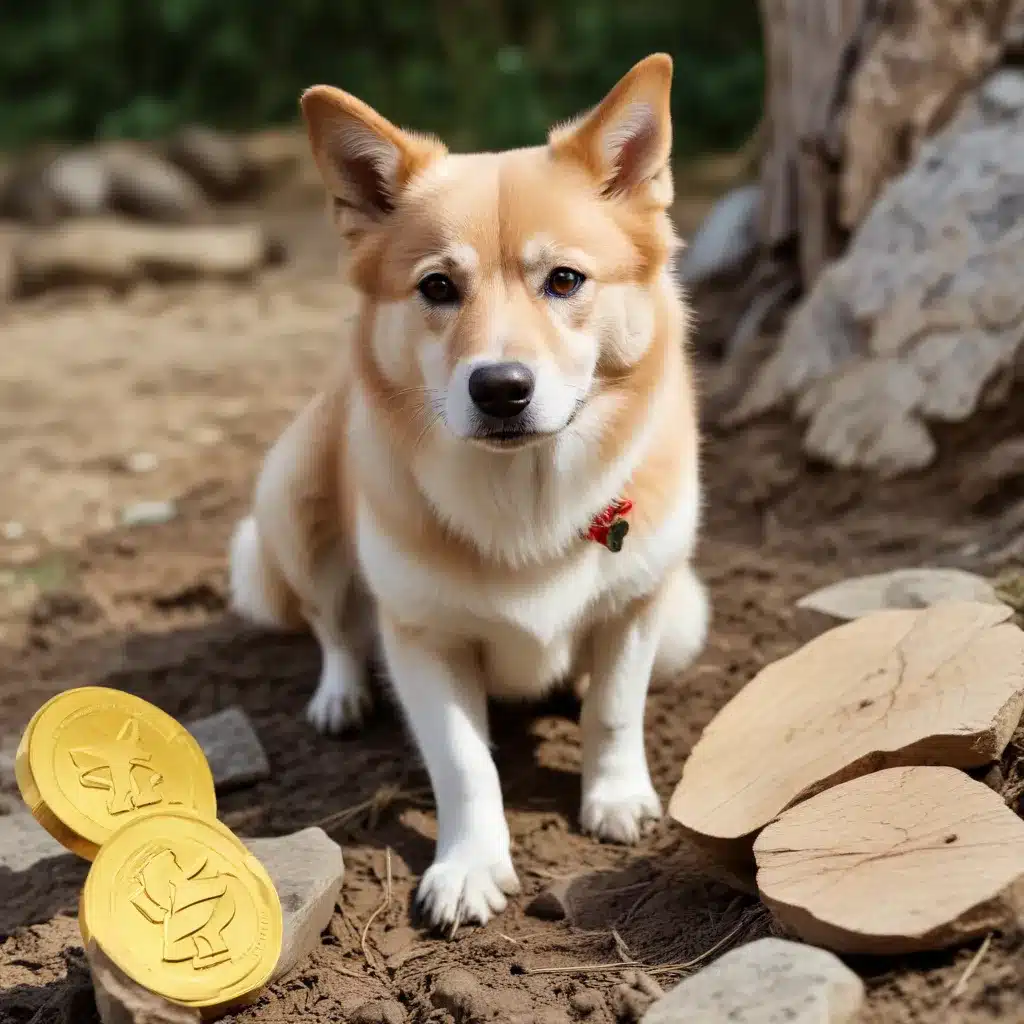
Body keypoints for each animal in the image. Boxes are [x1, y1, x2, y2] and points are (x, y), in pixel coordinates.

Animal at [230, 58, 712, 937]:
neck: (526, 498)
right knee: (331, 625)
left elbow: (615, 710)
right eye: (437, 287)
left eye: (565, 280)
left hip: (687, 617)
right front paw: (469, 869)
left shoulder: (639, 604)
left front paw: (615, 798)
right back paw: (341, 694)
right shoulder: (423, 638)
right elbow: (462, 763)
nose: (501, 388)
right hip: (292, 496)